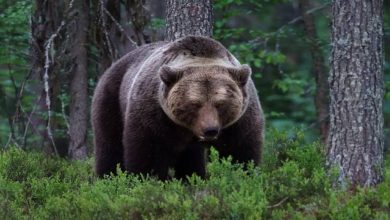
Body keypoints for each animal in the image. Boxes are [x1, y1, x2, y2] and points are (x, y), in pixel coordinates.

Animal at [91, 36, 264, 180]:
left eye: (220, 103)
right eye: (195, 103)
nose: (210, 130)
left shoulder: (240, 120)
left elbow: (240, 151)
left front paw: (243, 174)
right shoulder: (155, 113)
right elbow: (148, 152)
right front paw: (147, 179)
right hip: (112, 97)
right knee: (109, 145)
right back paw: (107, 177)